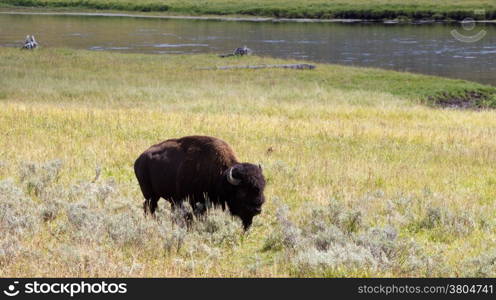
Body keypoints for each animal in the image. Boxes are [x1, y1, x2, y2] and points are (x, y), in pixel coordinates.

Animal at [134, 136, 266, 230]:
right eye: (243, 191)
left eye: (262, 188)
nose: (257, 209)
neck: (221, 176)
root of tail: (139, 159)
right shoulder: (196, 201)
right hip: (150, 195)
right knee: (149, 207)